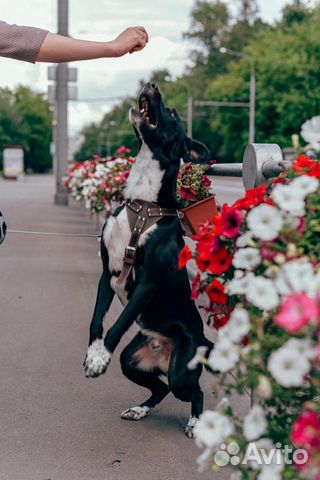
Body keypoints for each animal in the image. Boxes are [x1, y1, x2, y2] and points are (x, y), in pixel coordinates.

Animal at [85, 83, 214, 438]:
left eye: (172, 113)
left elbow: (117, 323)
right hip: (132, 361)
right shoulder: (106, 273)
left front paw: (99, 358)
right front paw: (93, 353)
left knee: (193, 391)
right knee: (160, 387)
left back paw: (195, 423)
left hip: (182, 370)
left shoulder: (148, 281)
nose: (152, 84)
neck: (143, 204)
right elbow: (98, 320)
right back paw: (138, 410)